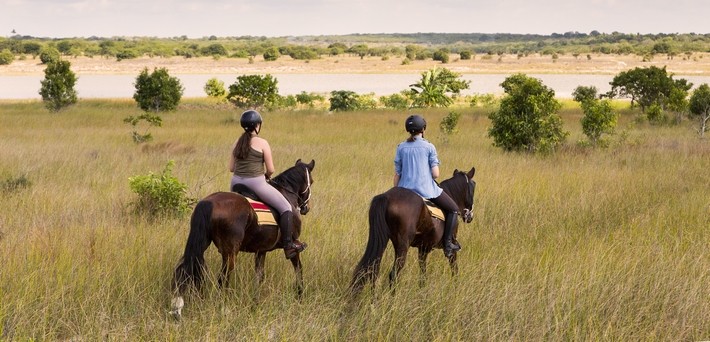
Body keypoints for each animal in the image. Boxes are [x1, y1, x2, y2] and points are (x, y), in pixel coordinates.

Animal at [352, 167, 478, 296]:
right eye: (473, 185)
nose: (470, 216)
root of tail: (386, 197)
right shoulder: (451, 248)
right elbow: (454, 269)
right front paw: (456, 287)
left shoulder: (423, 249)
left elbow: (422, 275)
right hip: (402, 245)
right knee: (393, 274)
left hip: (382, 240)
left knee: (372, 270)